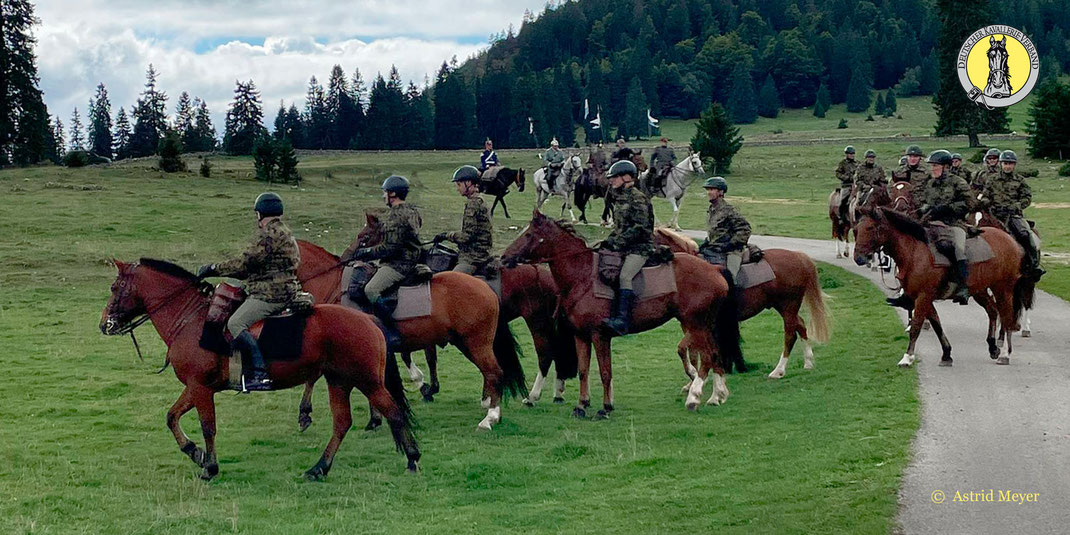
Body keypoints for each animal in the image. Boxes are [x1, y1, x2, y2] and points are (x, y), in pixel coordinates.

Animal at [98, 256, 419, 479]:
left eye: (115, 287)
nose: (105, 325)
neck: (191, 320)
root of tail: (367, 319)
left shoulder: (201, 388)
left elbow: (207, 427)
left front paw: (209, 467)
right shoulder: (196, 387)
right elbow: (171, 417)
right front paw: (194, 452)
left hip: (367, 381)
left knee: (392, 412)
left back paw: (413, 459)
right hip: (339, 381)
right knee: (342, 423)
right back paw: (319, 468)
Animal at [293, 225, 526, 430]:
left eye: (364, 236)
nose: (345, 256)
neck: (336, 288)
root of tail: (484, 286)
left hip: (476, 343)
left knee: (494, 372)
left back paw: (490, 418)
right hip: (465, 342)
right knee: (490, 372)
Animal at [502, 210, 744, 415]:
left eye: (529, 234)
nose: (504, 257)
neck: (583, 277)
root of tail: (714, 269)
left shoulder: (599, 336)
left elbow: (605, 372)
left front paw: (605, 407)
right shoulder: (581, 336)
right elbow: (583, 370)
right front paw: (582, 405)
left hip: (696, 324)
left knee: (708, 357)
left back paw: (694, 397)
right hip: (704, 324)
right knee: (715, 354)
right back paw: (717, 395)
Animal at [650, 226, 834, 380]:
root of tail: (799, 256)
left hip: (788, 305)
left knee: (790, 334)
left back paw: (778, 371)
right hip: (786, 307)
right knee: (800, 326)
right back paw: (808, 362)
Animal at [847, 207, 1031, 368]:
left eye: (870, 228)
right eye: (856, 229)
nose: (859, 258)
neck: (914, 252)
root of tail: (1010, 240)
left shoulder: (923, 297)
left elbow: (916, 326)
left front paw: (907, 358)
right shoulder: (923, 298)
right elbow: (936, 325)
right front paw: (946, 355)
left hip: (1003, 289)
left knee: (1006, 317)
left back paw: (1004, 354)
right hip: (980, 290)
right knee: (993, 311)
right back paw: (993, 347)